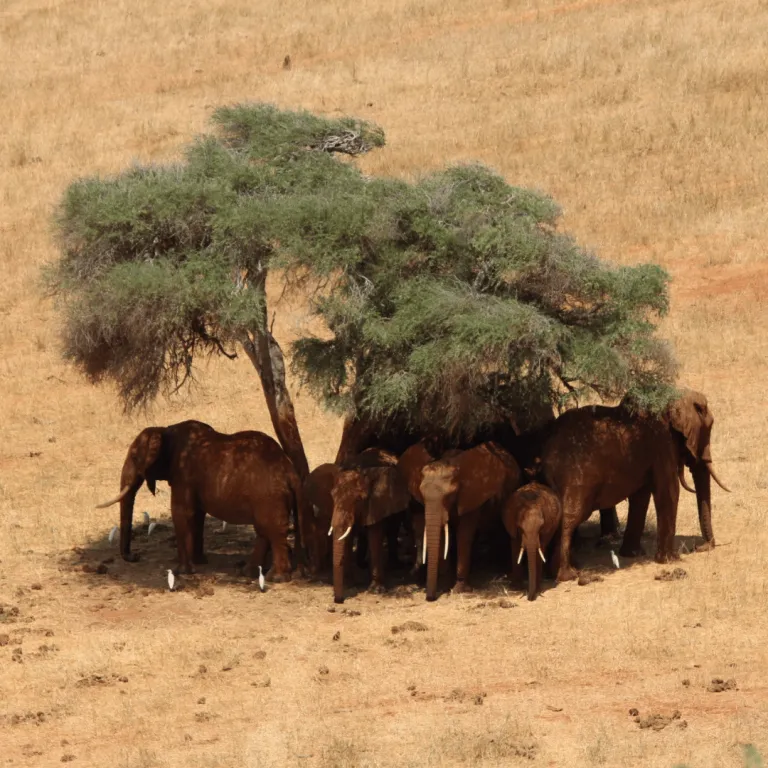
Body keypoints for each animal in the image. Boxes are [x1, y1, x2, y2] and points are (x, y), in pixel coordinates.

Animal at [97, 420, 308, 584]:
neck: (165, 429)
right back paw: (248, 572)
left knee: (272, 531)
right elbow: (197, 515)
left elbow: (181, 512)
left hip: (269, 498)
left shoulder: (183, 474)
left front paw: (182, 571)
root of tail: (290, 471)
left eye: (134, 457)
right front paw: (199, 561)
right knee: (264, 531)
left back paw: (276, 578)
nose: (135, 557)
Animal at [330, 464, 414, 604]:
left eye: (358, 500)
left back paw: (392, 566)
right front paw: (349, 585)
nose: (339, 601)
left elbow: (374, 538)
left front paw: (376, 590)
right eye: (332, 497)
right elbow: (347, 539)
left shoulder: (376, 506)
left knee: (392, 531)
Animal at [420, 444, 520, 600]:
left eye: (449, 495)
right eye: (421, 495)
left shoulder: (472, 497)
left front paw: (459, 590)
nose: (430, 598)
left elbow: (464, 535)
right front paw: (443, 586)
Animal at [536, 390, 728, 584]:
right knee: (571, 517)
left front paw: (632, 554)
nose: (699, 547)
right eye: (707, 429)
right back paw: (567, 575)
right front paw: (670, 560)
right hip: (576, 476)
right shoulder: (662, 442)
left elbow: (640, 497)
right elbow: (668, 492)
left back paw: (556, 573)